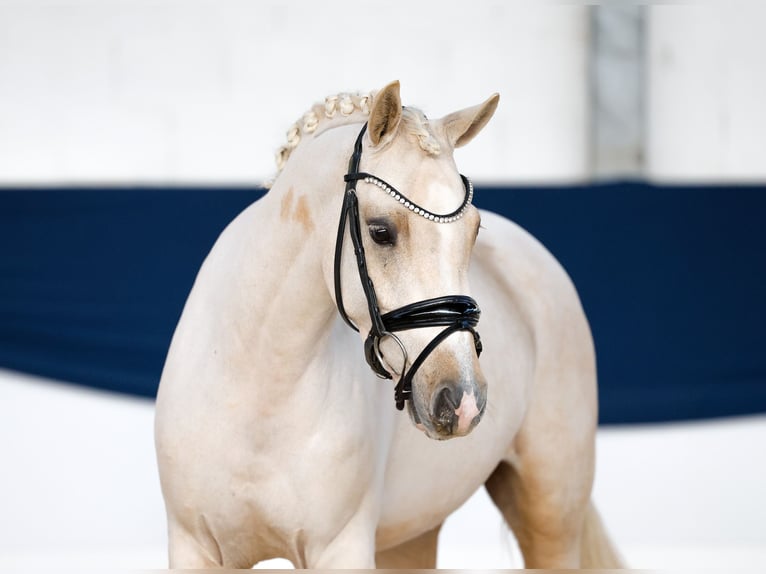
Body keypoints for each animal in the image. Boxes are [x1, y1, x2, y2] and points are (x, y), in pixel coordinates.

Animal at [154, 81, 624, 572]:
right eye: (380, 231)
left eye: (474, 232)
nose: (462, 401)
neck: (259, 398)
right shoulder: (193, 547)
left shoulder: (340, 548)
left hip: (552, 513)